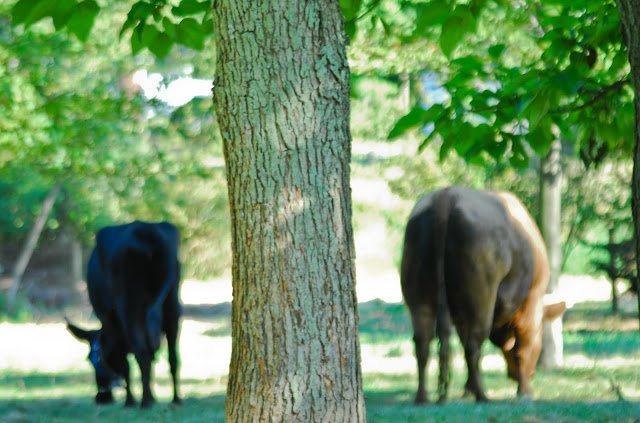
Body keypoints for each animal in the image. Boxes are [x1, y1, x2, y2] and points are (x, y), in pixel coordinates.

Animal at [66, 221, 182, 408]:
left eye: (92, 359)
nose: (101, 398)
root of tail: (145, 230)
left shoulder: (114, 324)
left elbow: (125, 364)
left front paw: (130, 401)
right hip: (172, 304)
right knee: (172, 356)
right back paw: (176, 399)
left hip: (129, 308)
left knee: (142, 353)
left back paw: (144, 402)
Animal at [401, 186, 565, 404]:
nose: (514, 375)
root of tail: (446, 195)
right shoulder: (531, 300)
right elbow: (523, 347)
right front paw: (524, 391)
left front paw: (467, 389)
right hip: (481, 297)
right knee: (473, 343)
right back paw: (482, 395)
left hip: (419, 293)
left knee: (423, 342)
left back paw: (423, 397)